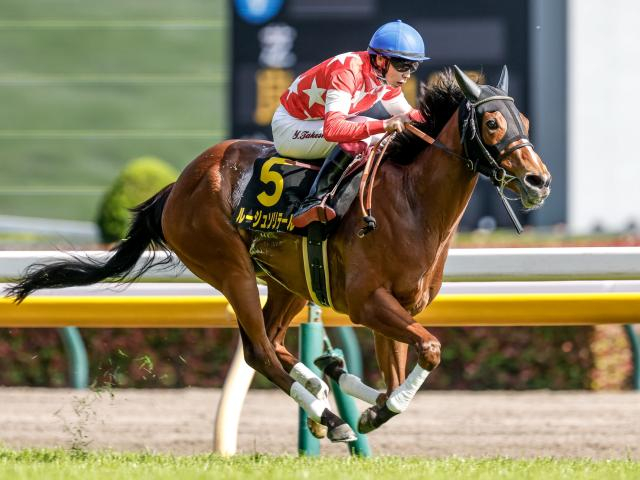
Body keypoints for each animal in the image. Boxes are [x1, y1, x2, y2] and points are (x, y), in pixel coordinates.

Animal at [6, 66, 550, 443]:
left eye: (523, 118)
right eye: (492, 122)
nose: (538, 180)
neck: (412, 203)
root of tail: (177, 185)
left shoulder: (397, 306)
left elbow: (399, 377)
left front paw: (363, 396)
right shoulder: (367, 302)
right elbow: (430, 350)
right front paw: (364, 411)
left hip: (290, 281)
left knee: (271, 342)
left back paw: (323, 384)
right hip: (230, 268)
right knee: (260, 351)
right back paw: (329, 415)